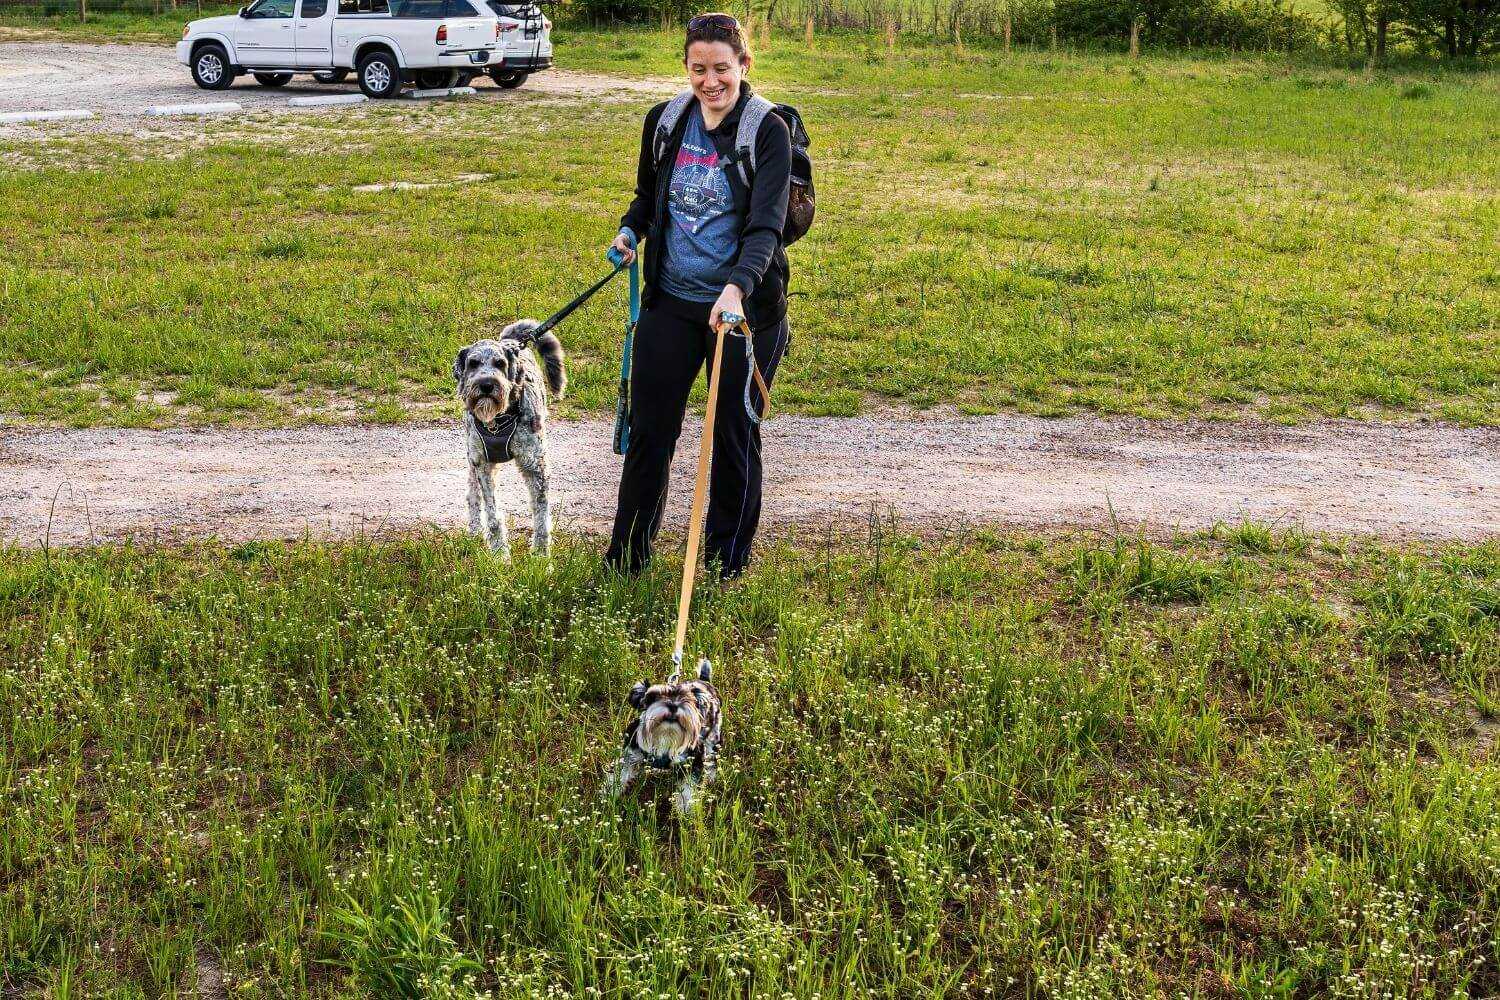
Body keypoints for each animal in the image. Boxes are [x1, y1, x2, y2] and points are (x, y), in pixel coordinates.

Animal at [453, 319, 564, 554]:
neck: (499, 420)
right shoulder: (483, 465)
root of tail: (511, 341)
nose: (487, 384)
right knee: (472, 494)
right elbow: (493, 515)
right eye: (473, 363)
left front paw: (541, 555)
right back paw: (474, 532)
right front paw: (499, 554)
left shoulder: (535, 466)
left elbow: (541, 515)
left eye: (500, 363)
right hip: (472, 457)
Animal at [609, 659, 726, 815]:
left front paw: (685, 810)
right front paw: (608, 794)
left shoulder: (693, 762)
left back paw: (711, 777)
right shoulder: (631, 755)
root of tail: (704, 680)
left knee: (712, 759)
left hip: (713, 738)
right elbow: (620, 774)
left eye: (686, 698)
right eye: (653, 696)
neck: (665, 736)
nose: (673, 706)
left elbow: (688, 789)